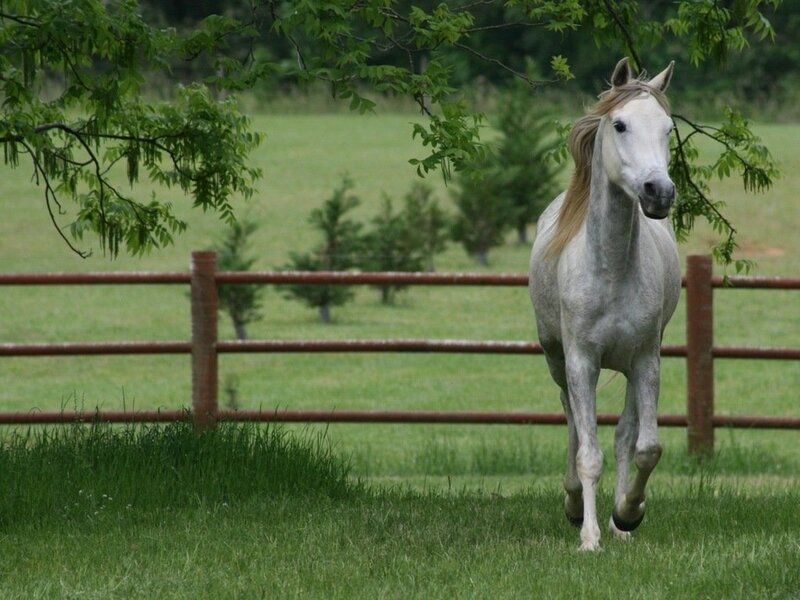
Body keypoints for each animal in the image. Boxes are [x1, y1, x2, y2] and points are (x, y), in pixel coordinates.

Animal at [529, 57, 681, 551]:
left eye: (668, 128)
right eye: (620, 124)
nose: (659, 192)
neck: (611, 270)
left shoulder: (646, 360)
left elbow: (644, 446)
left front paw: (628, 514)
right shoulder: (581, 362)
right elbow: (588, 453)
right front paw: (589, 537)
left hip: (633, 366)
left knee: (623, 436)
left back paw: (618, 524)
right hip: (558, 362)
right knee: (574, 426)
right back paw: (576, 506)